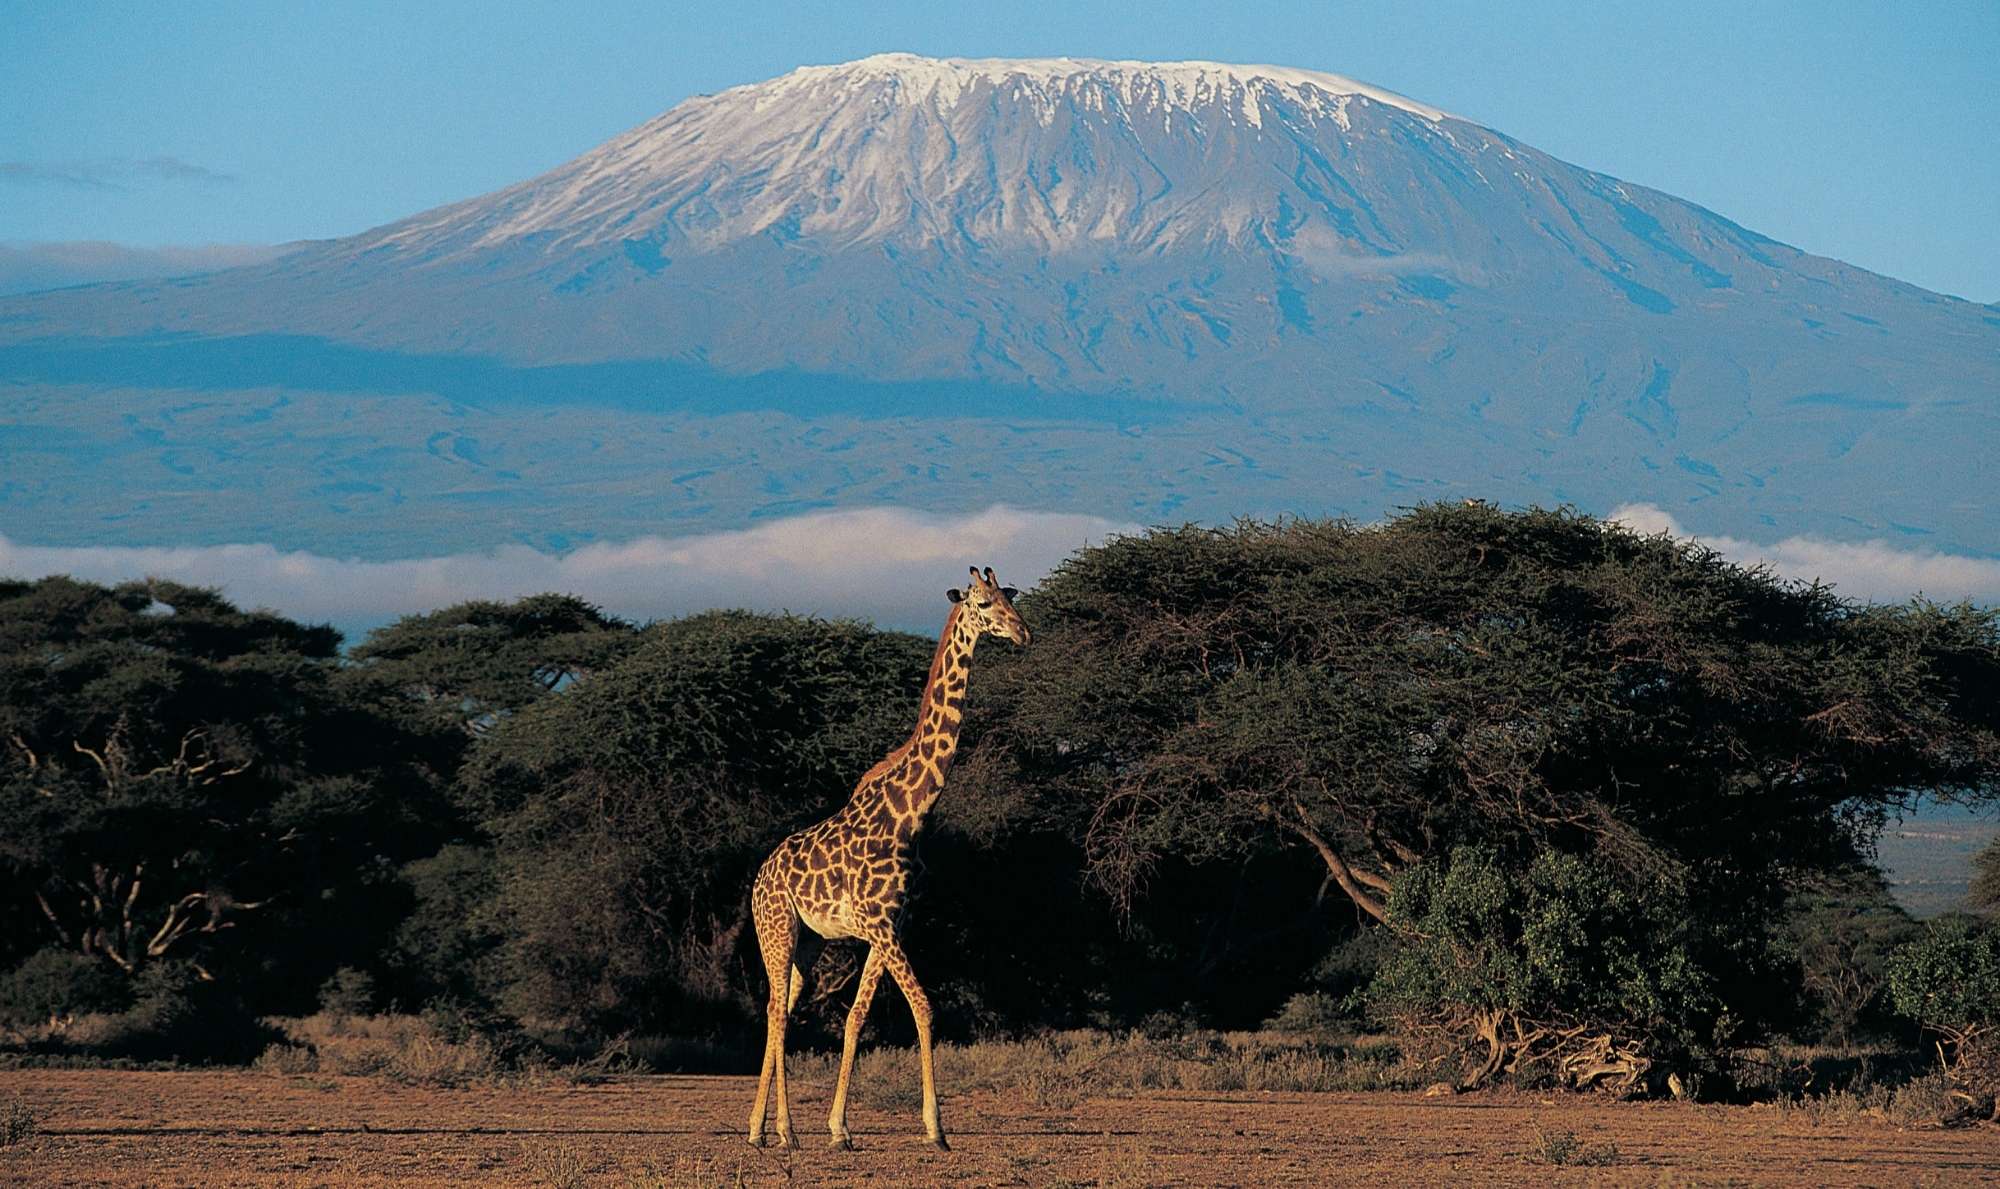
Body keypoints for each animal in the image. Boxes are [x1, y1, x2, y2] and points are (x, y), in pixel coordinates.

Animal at [746, 565, 1030, 1152]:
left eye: (1011, 597)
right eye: (983, 603)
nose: (1022, 633)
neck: (911, 812)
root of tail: (758, 878)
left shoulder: (891, 924)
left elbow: (857, 1016)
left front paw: (839, 1128)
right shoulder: (879, 925)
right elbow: (924, 1005)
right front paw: (936, 1129)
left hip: (807, 943)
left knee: (781, 1008)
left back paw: (760, 1129)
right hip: (776, 929)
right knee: (776, 1011)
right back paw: (783, 1130)